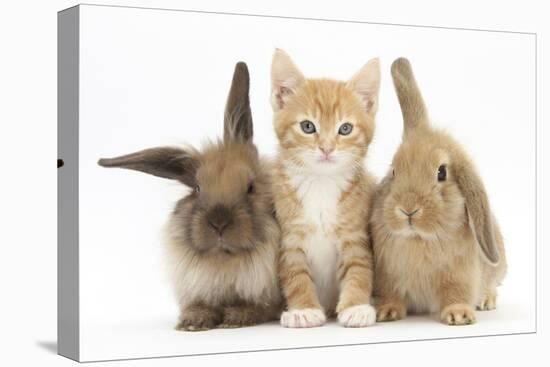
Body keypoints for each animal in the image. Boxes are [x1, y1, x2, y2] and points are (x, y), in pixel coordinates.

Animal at [97, 61, 284, 332]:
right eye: (197, 188)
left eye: (251, 187)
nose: (219, 222)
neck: (224, 260)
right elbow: (198, 305)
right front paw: (194, 321)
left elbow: (261, 307)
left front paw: (237, 317)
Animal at [270, 49, 382, 328]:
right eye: (308, 126)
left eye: (346, 128)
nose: (327, 148)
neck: (320, 183)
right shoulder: (290, 237)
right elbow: (295, 274)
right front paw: (303, 309)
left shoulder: (354, 235)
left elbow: (358, 269)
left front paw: (356, 307)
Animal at [370, 59, 508, 326]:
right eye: (394, 171)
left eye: (441, 172)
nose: (408, 209)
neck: (419, 239)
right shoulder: (387, 276)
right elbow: (391, 294)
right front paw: (386, 312)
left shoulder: (459, 275)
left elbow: (456, 293)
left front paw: (458, 315)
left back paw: (486, 301)